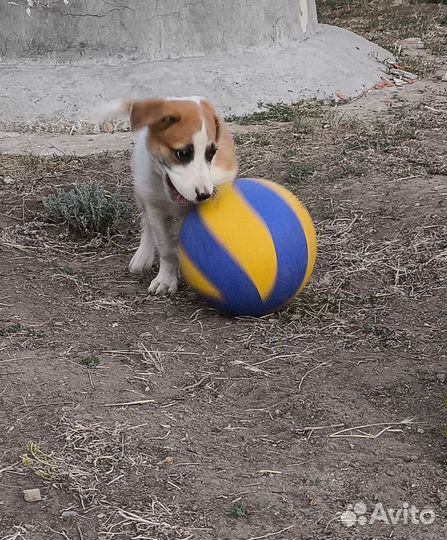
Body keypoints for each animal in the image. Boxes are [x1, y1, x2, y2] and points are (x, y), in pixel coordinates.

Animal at [121, 95, 238, 294]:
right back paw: (142, 256)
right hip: (141, 191)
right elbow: (166, 248)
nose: (204, 195)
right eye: (182, 153)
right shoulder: (155, 208)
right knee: (146, 224)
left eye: (212, 153)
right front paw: (166, 279)